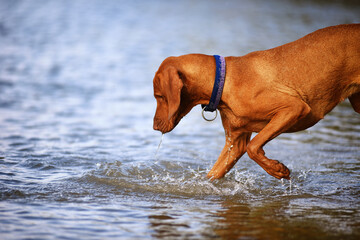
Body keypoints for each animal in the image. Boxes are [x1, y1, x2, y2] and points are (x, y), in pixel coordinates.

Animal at [153, 24, 360, 181]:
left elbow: (253, 147)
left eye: (159, 96)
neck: (224, 82)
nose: (154, 127)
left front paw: (277, 170)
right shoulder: (235, 141)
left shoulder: (294, 108)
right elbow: (213, 174)